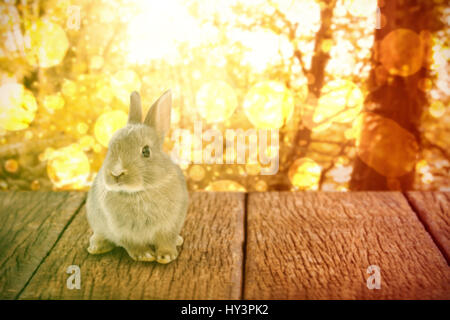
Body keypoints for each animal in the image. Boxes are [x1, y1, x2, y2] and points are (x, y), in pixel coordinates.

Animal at [86, 90, 188, 264]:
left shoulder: (170, 225)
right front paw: (145, 255)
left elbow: (166, 241)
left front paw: (166, 256)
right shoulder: (123, 231)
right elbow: (133, 245)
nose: (116, 173)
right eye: (110, 148)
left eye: (146, 151)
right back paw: (97, 247)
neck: (139, 192)